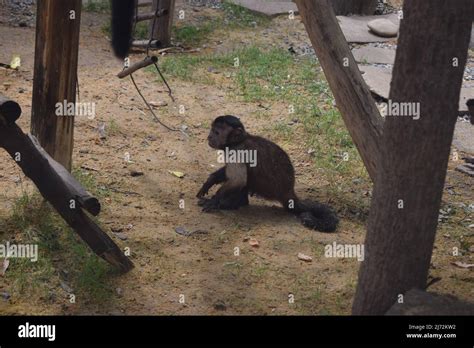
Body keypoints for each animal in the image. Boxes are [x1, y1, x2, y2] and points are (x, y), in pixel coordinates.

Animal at [196, 115, 336, 232]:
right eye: (212, 130)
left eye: (216, 132)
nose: (209, 137)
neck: (238, 141)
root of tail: (289, 192)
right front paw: (210, 181)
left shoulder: (237, 151)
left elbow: (238, 180)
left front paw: (214, 201)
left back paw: (233, 203)